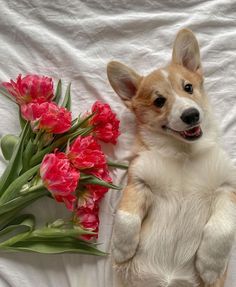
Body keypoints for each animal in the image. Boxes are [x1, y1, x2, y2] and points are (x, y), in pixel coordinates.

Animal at [106, 29, 236, 287]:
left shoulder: (227, 187)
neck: (183, 152)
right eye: (159, 101)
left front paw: (210, 266)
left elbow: (222, 227)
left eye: (188, 87)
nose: (191, 115)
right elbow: (126, 216)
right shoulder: (138, 181)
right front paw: (122, 249)